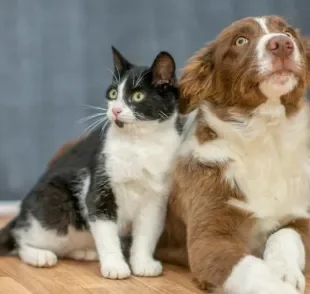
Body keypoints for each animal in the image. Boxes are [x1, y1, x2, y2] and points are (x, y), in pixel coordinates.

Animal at [0, 47, 182, 280]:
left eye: (138, 96)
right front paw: (115, 266)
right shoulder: (99, 186)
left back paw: (84, 252)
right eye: (113, 94)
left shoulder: (156, 197)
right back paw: (40, 256)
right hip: (54, 207)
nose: (115, 110)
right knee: (21, 237)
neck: (139, 144)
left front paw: (143, 263)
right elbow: (106, 232)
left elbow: (147, 233)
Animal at [47, 15, 310, 294]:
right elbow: (252, 270)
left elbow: (285, 235)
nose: (282, 44)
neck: (264, 138)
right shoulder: (209, 241)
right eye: (240, 41)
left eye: (288, 32)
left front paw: (285, 271)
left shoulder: (300, 218)